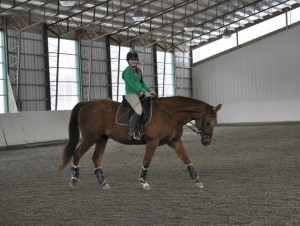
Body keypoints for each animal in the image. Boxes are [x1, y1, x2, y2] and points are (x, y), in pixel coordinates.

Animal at [58, 96, 221, 191]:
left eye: (215, 123)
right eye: (207, 122)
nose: (206, 142)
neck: (169, 114)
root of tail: (86, 104)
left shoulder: (174, 141)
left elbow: (186, 159)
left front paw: (197, 181)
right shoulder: (152, 142)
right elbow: (147, 161)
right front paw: (143, 182)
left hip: (102, 138)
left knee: (96, 158)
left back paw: (103, 183)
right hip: (90, 137)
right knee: (77, 153)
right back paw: (73, 181)